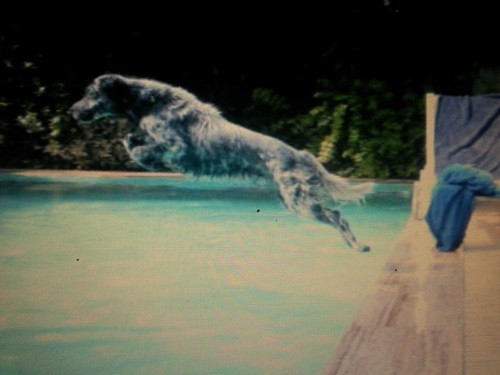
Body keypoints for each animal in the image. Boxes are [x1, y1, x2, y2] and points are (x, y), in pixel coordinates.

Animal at [71, 74, 376, 253]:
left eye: (92, 94)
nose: (72, 110)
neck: (150, 102)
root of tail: (300, 153)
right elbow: (132, 139)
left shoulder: (177, 146)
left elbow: (142, 147)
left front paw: (145, 157)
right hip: (291, 201)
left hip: (300, 201)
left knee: (338, 216)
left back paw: (357, 245)